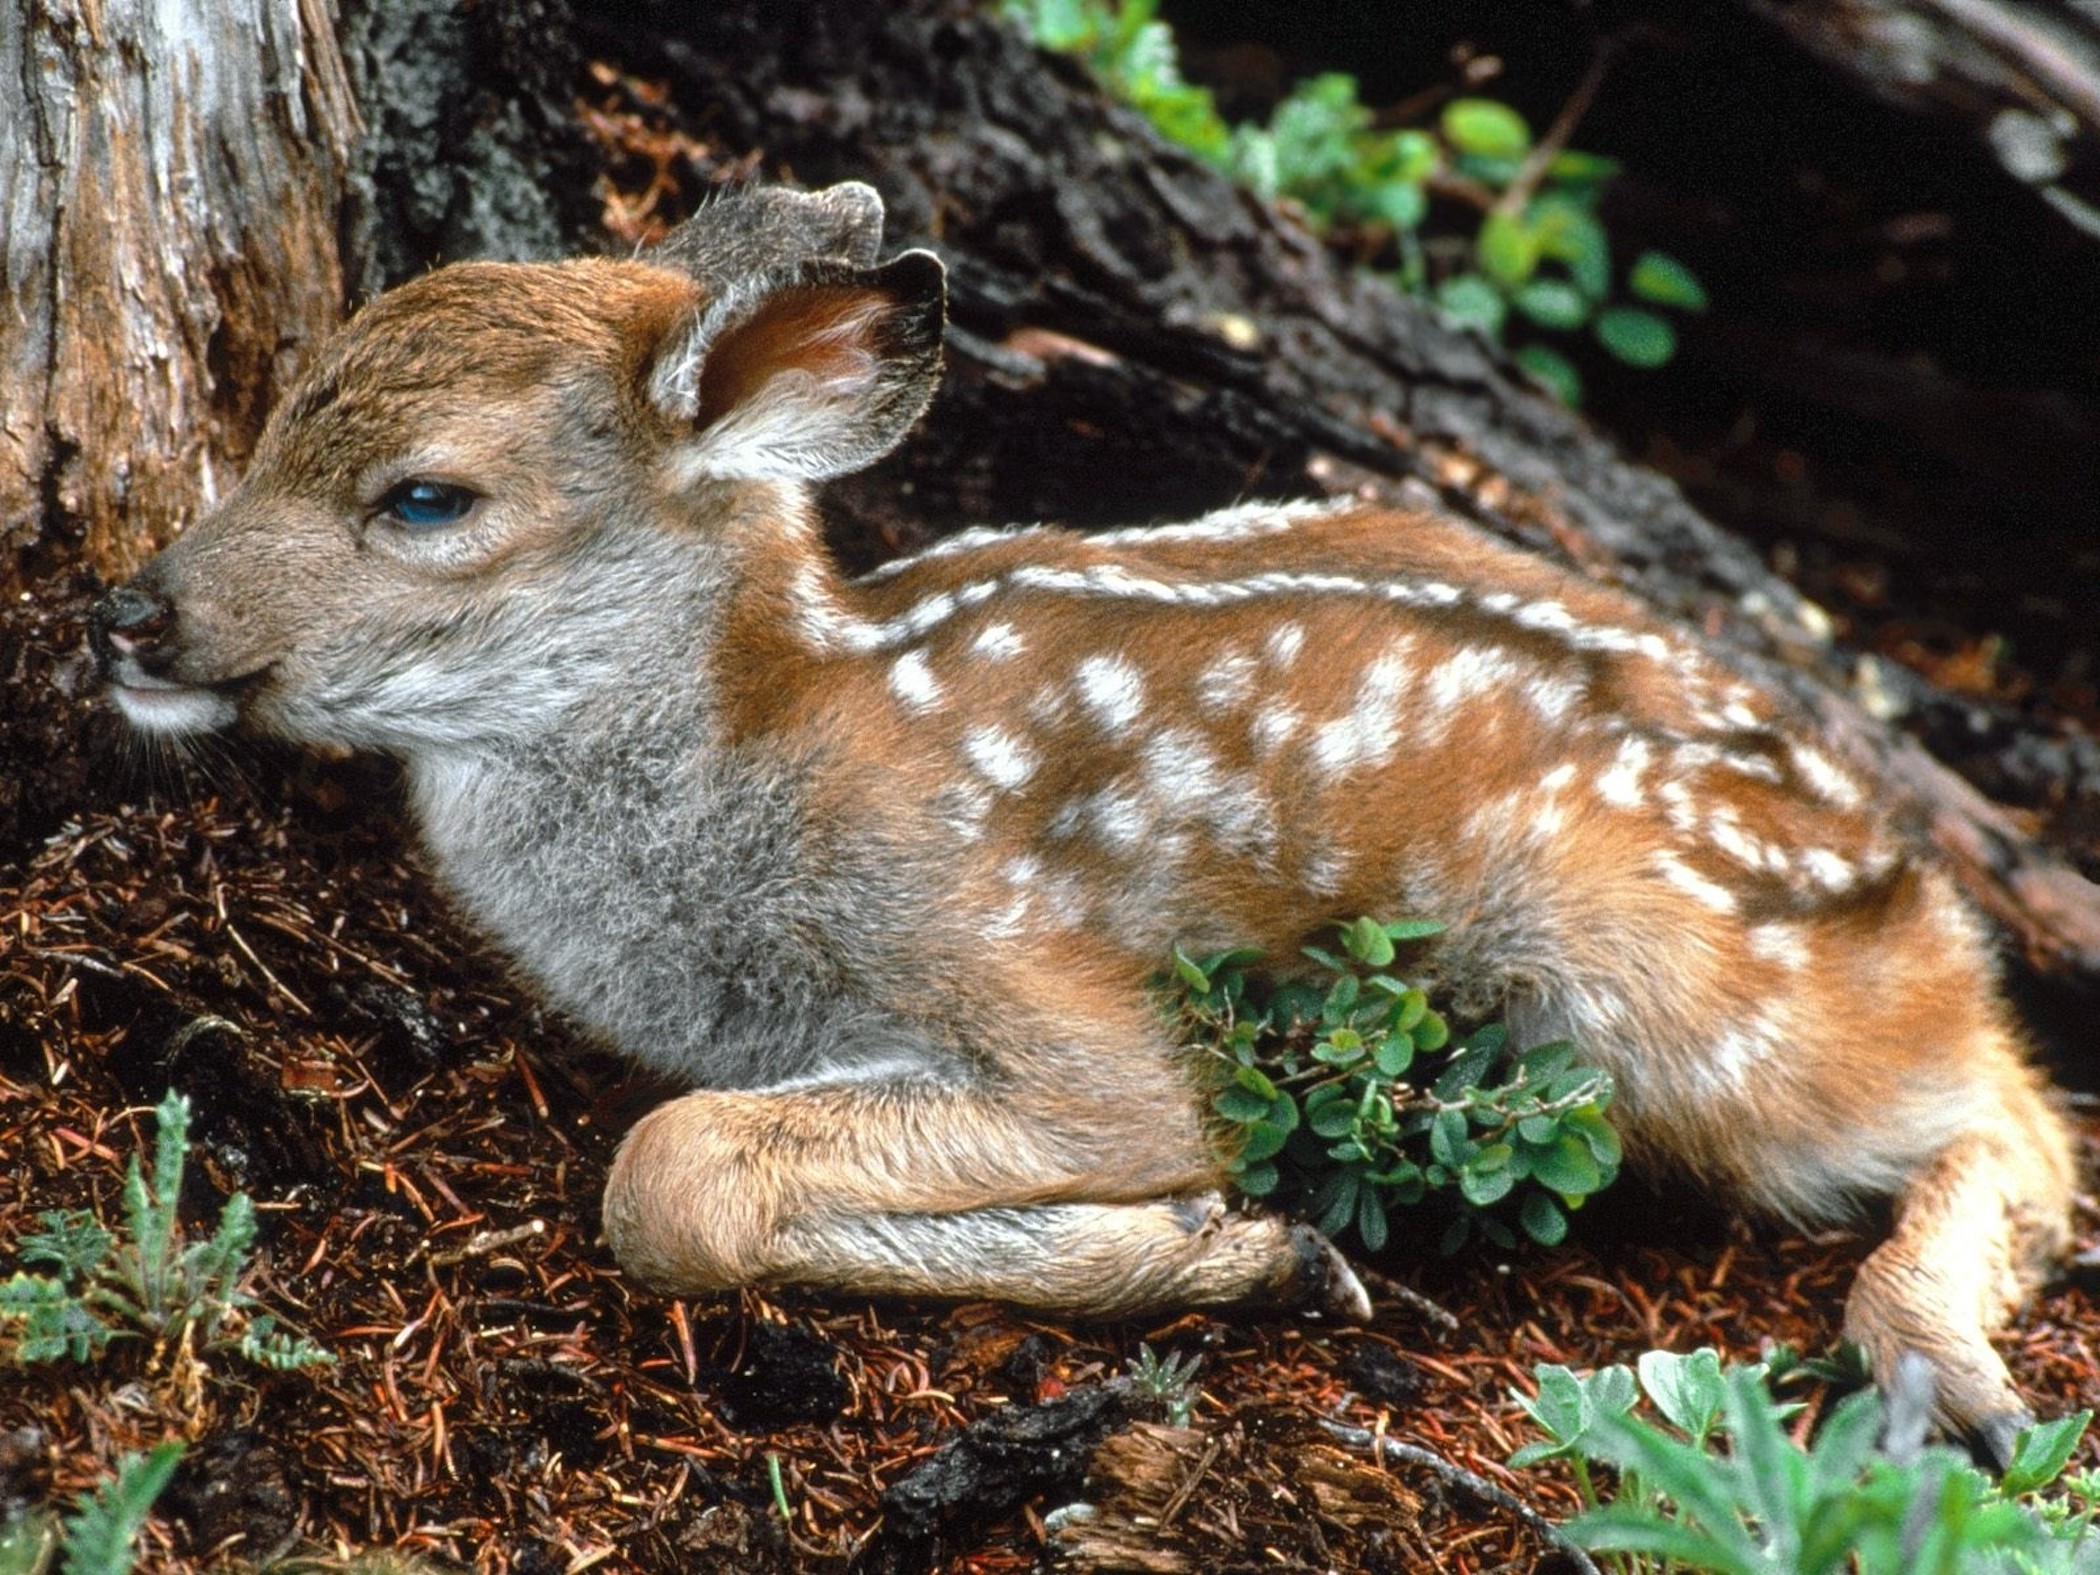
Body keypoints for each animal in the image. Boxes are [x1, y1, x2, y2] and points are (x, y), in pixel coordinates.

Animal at [90, 181, 2074, 1453]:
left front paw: (1240, 1246)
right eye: (272, 413)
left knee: (2013, 1105)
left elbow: (677, 1170)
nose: (131, 613)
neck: (764, 756)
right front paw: (1252, 1252)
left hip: (1638, 965)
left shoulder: (1039, 990)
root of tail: (1910, 888)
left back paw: (1943, 1370)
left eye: (426, 499)